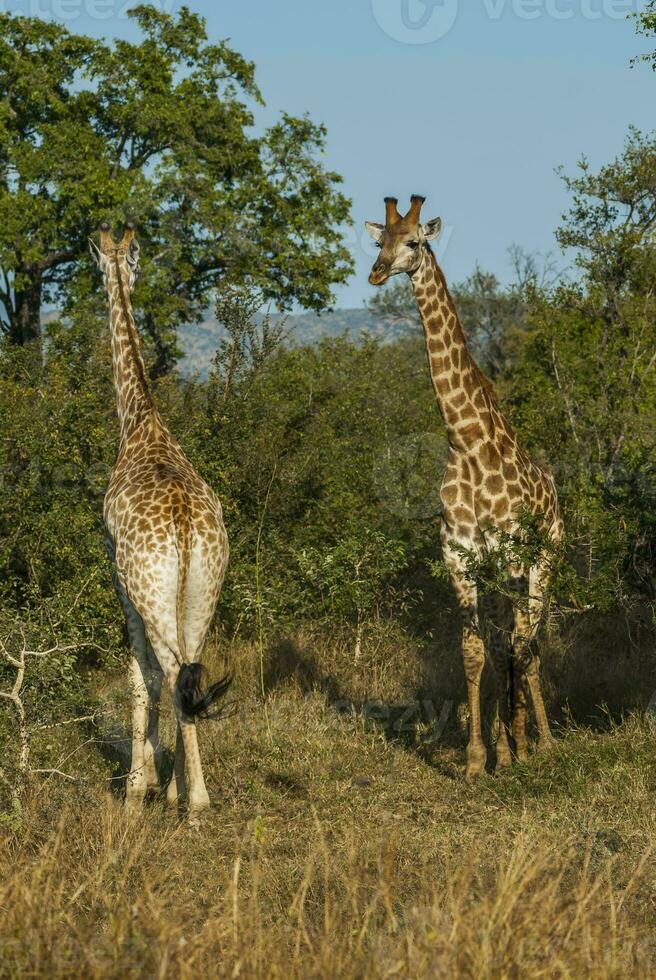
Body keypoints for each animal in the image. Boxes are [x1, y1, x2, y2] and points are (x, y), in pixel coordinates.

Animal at [364, 199, 564, 776]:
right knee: (509, 644)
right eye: (379, 241)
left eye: (414, 243)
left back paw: (542, 741)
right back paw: (512, 742)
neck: (467, 438)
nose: (377, 273)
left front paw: (515, 748)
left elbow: (512, 649)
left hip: (544, 561)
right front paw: (480, 758)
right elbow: (475, 652)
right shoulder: (460, 555)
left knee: (530, 643)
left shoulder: (510, 554)